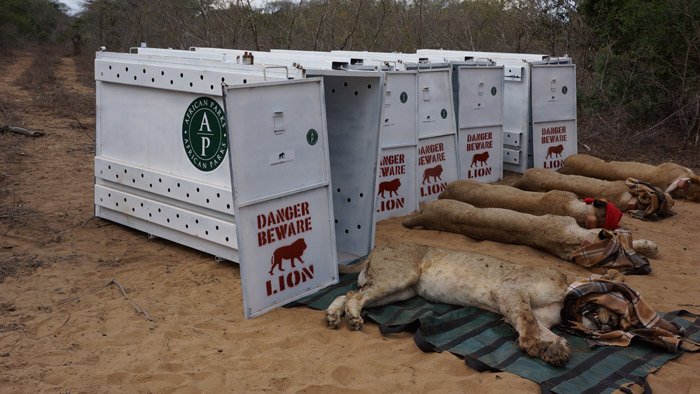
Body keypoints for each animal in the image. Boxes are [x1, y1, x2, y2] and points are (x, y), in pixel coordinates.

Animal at [326, 242, 628, 368]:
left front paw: (556, 350)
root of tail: (377, 247)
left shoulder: (524, 310)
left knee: (350, 293)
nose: (608, 324)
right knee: (355, 295)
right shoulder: (510, 290)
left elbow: (542, 329)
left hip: (402, 291)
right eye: (613, 306)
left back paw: (333, 316)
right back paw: (352, 319)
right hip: (400, 277)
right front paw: (535, 346)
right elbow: (529, 323)